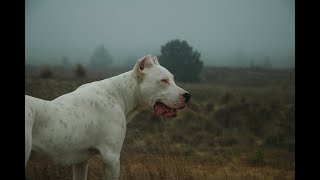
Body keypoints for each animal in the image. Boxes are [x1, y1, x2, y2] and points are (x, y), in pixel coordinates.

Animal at [25, 54, 190, 179]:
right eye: (163, 80)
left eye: (173, 78)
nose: (188, 96)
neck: (119, 93)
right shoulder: (112, 158)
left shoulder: (80, 161)